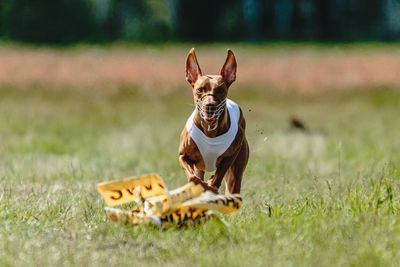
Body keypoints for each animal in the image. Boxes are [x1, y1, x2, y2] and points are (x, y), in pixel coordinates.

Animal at [177, 48, 247, 195]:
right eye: (199, 89)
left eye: (220, 90)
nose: (210, 105)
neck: (209, 131)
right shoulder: (183, 156)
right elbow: (194, 179)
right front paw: (204, 185)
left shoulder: (232, 154)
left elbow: (216, 179)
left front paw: (211, 184)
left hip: (235, 175)